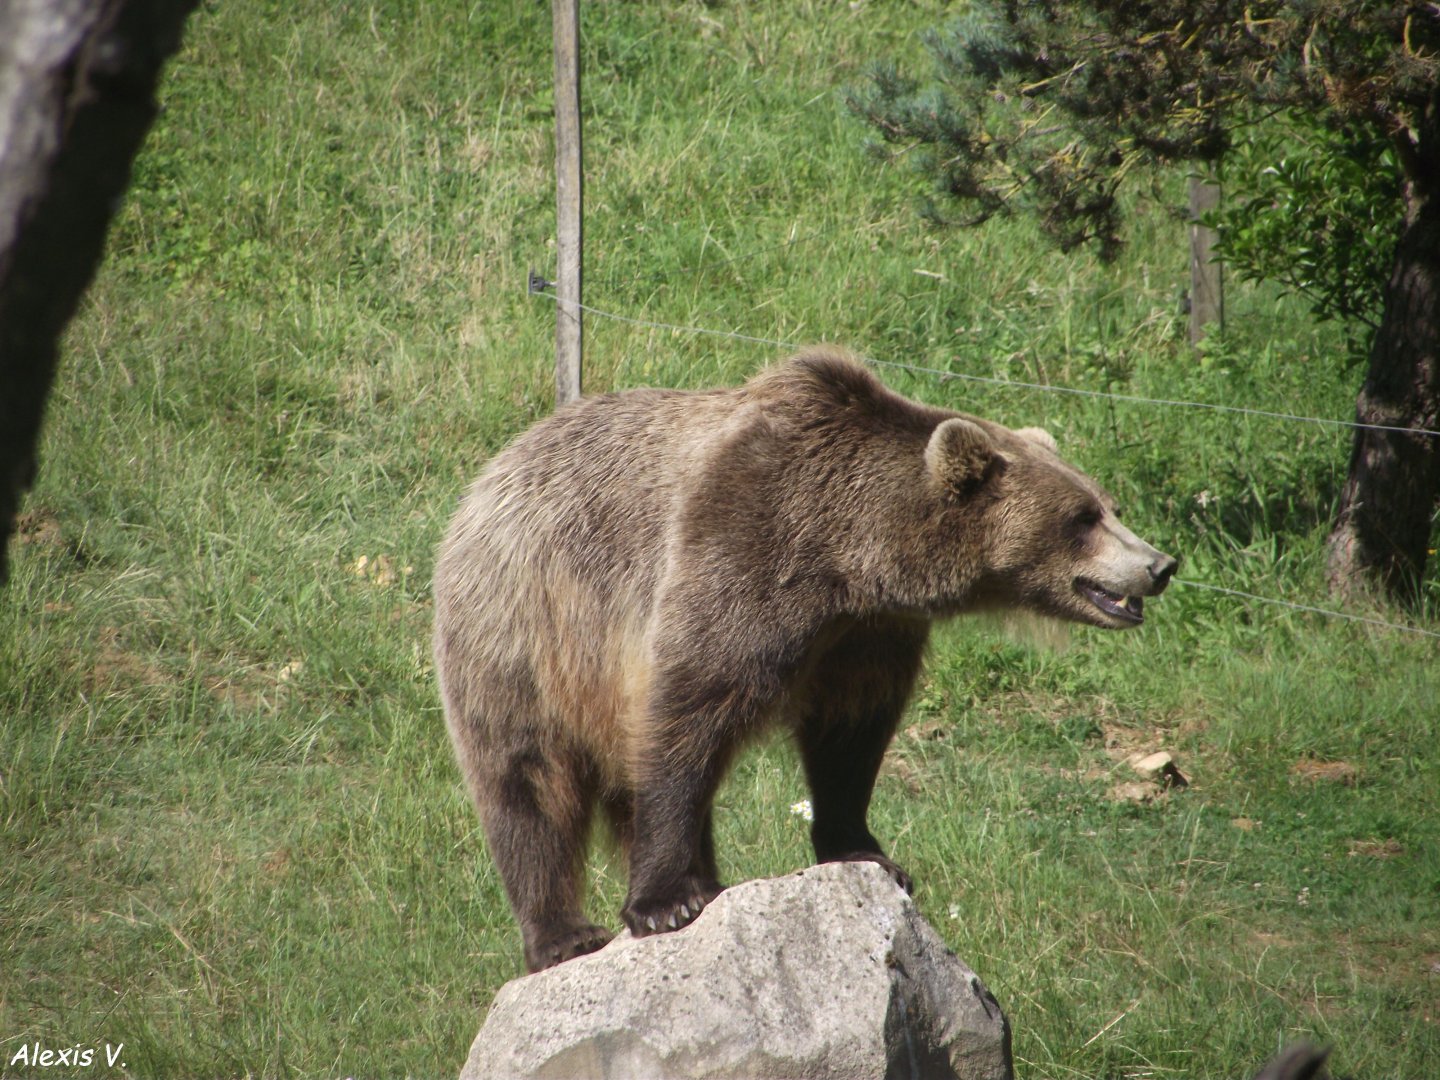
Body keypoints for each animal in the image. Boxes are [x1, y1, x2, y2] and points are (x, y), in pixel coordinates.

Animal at [432, 347, 1177, 972]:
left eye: (1108, 504)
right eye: (1081, 517)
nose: (1160, 564)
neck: (844, 555)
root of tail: (488, 475)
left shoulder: (864, 633)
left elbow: (851, 737)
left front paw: (867, 851)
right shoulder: (741, 550)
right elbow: (688, 712)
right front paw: (662, 903)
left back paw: (706, 878)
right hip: (523, 622)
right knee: (525, 777)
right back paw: (563, 932)